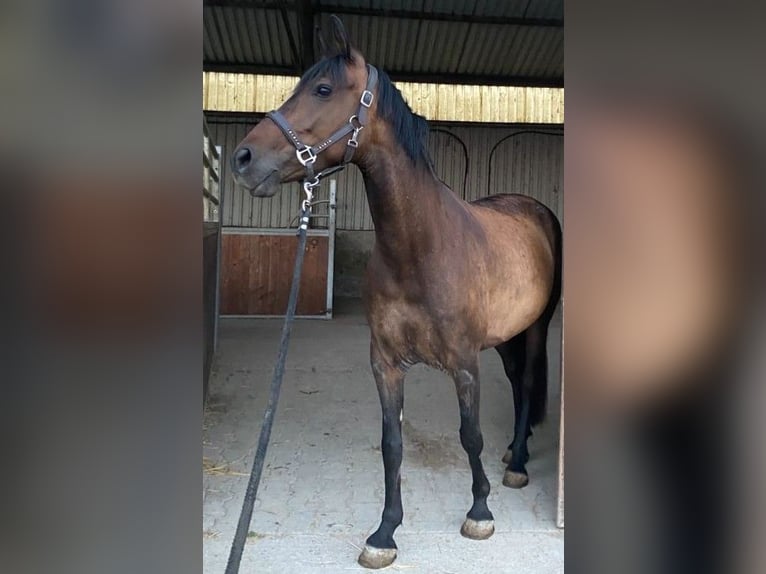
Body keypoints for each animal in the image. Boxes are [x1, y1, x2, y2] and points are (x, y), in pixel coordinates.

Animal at [230, 16, 562, 570]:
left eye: (322, 89)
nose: (242, 158)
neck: (421, 248)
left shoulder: (465, 363)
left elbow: (469, 435)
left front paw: (480, 510)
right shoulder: (385, 363)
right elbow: (391, 444)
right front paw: (385, 532)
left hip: (536, 329)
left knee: (529, 382)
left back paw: (516, 464)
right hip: (505, 337)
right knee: (518, 383)